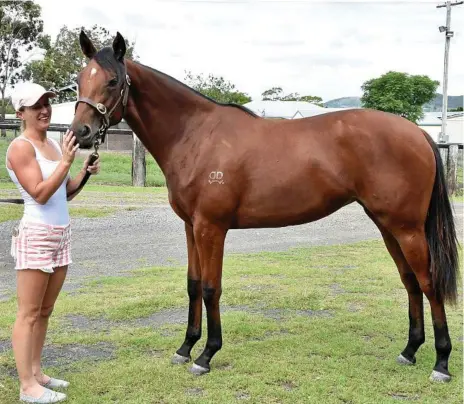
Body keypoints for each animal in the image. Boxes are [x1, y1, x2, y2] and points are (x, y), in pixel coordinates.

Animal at [70, 31, 458, 382]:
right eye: (79, 80)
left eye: (112, 81)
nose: (81, 132)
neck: (196, 135)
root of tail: (418, 132)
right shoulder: (191, 226)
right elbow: (193, 285)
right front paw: (185, 348)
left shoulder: (211, 227)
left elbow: (211, 287)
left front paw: (206, 355)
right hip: (388, 225)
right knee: (410, 281)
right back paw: (410, 351)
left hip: (407, 229)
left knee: (428, 282)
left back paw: (441, 363)